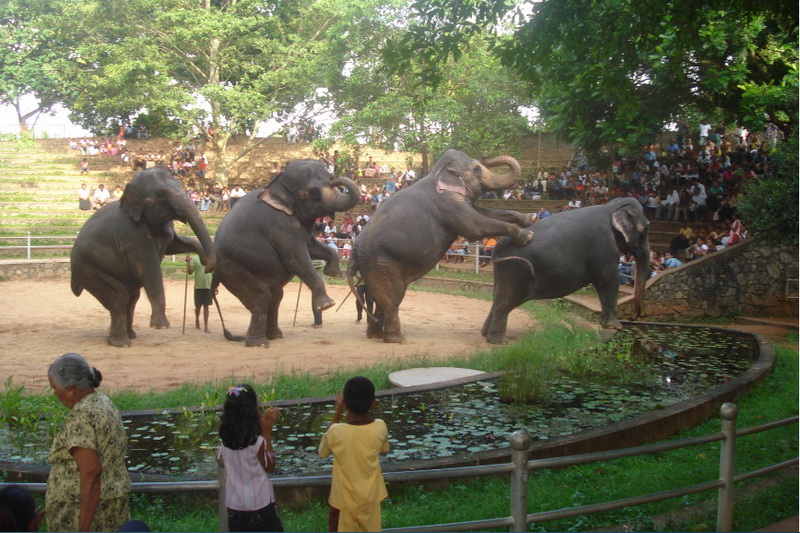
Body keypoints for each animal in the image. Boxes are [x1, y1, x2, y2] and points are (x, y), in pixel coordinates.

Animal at [70, 168, 214, 348]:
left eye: (180, 186)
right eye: (160, 196)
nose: (207, 266)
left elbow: (174, 244)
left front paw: (202, 256)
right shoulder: (133, 236)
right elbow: (150, 269)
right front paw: (160, 326)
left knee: (132, 298)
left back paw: (128, 336)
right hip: (90, 270)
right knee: (119, 298)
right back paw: (121, 343)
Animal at [214, 158, 360, 348]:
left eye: (329, 177)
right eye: (313, 191)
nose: (334, 177)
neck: (277, 182)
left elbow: (313, 247)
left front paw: (333, 273)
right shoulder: (280, 224)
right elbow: (297, 258)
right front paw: (327, 304)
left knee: (276, 297)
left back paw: (274, 336)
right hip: (233, 269)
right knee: (262, 298)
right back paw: (259, 344)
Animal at [346, 148, 536, 342]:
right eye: (477, 169)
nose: (484, 155)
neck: (437, 173)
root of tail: (355, 249)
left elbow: (483, 213)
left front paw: (531, 218)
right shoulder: (447, 204)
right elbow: (474, 226)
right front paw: (527, 235)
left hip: (373, 265)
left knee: (380, 299)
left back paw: (375, 335)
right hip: (380, 261)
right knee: (393, 298)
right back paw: (397, 339)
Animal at [482, 197, 648, 342]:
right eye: (645, 229)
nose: (633, 318)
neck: (611, 207)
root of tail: (497, 249)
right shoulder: (603, 245)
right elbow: (608, 278)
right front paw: (615, 326)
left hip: (508, 269)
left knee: (502, 298)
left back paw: (486, 334)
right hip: (514, 268)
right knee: (505, 301)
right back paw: (499, 341)